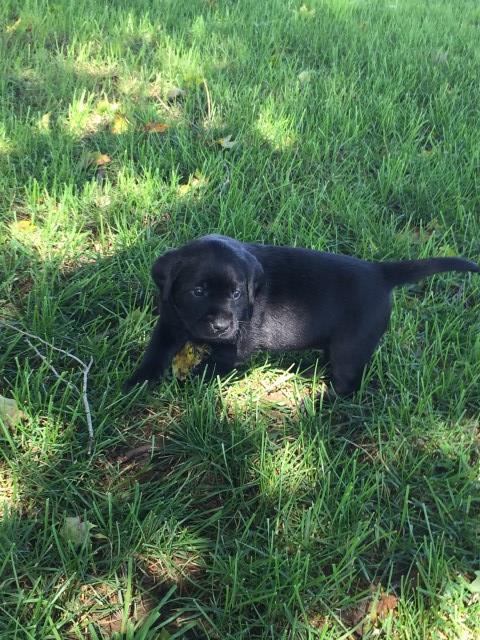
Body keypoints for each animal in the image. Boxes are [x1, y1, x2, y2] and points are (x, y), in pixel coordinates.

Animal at [123, 235, 476, 396]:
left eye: (236, 294)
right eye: (198, 291)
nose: (222, 325)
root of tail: (380, 273)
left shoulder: (233, 349)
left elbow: (208, 368)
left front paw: (184, 387)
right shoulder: (170, 320)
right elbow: (155, 352)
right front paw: (137, 382)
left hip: (351, 348)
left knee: (348, 383)